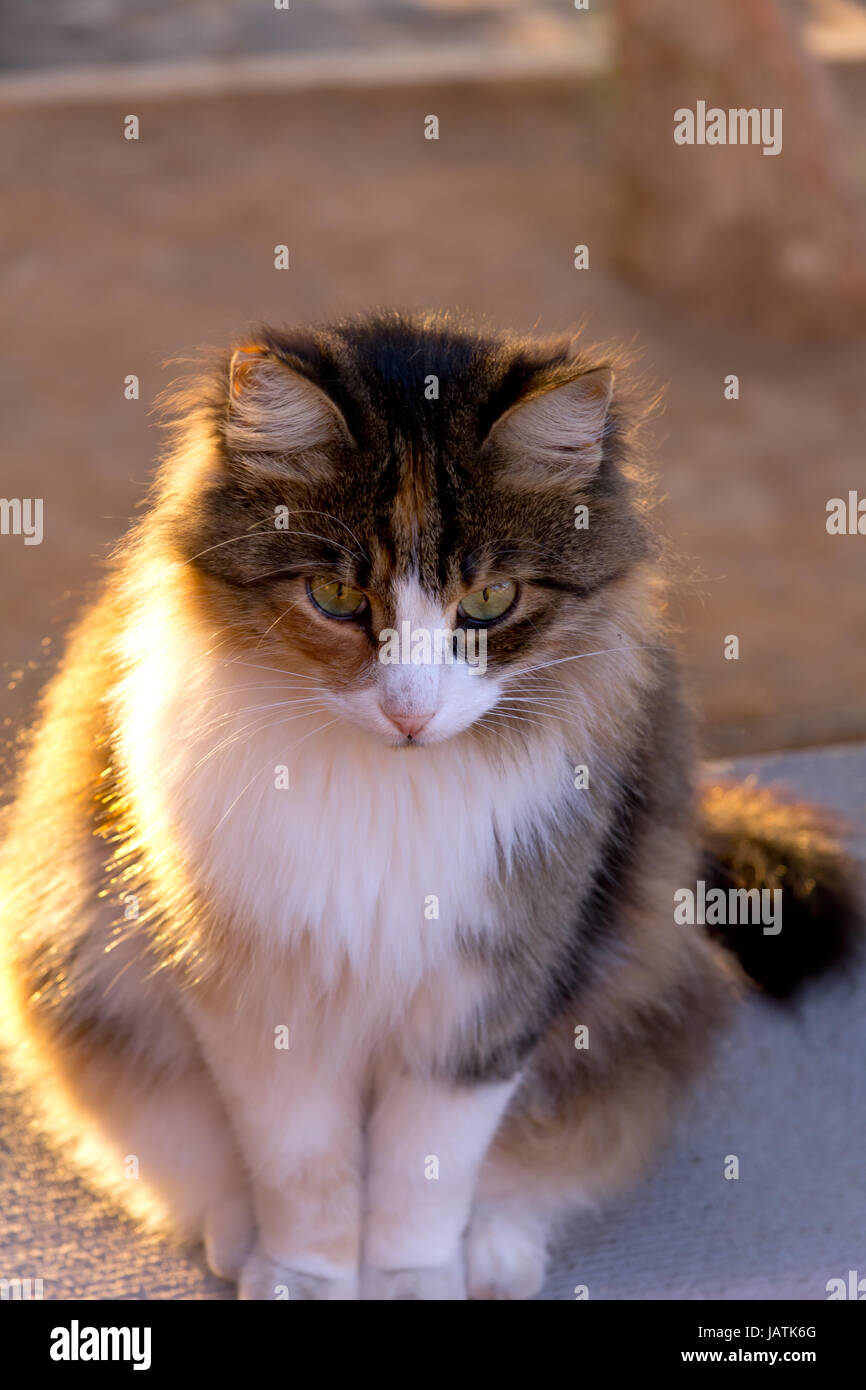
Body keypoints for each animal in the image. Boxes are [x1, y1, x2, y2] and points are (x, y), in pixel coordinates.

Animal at [0, 309, 856, 1295]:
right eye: (336, 595)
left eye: (490, 601)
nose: (410, 712)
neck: (388, 795)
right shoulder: (259, 1000)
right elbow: (303, 1174)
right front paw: (305, 1277)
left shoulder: (487, 996)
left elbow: (423, 1178)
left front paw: (412, 1278)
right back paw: (238, 1240)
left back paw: (495, 1250)